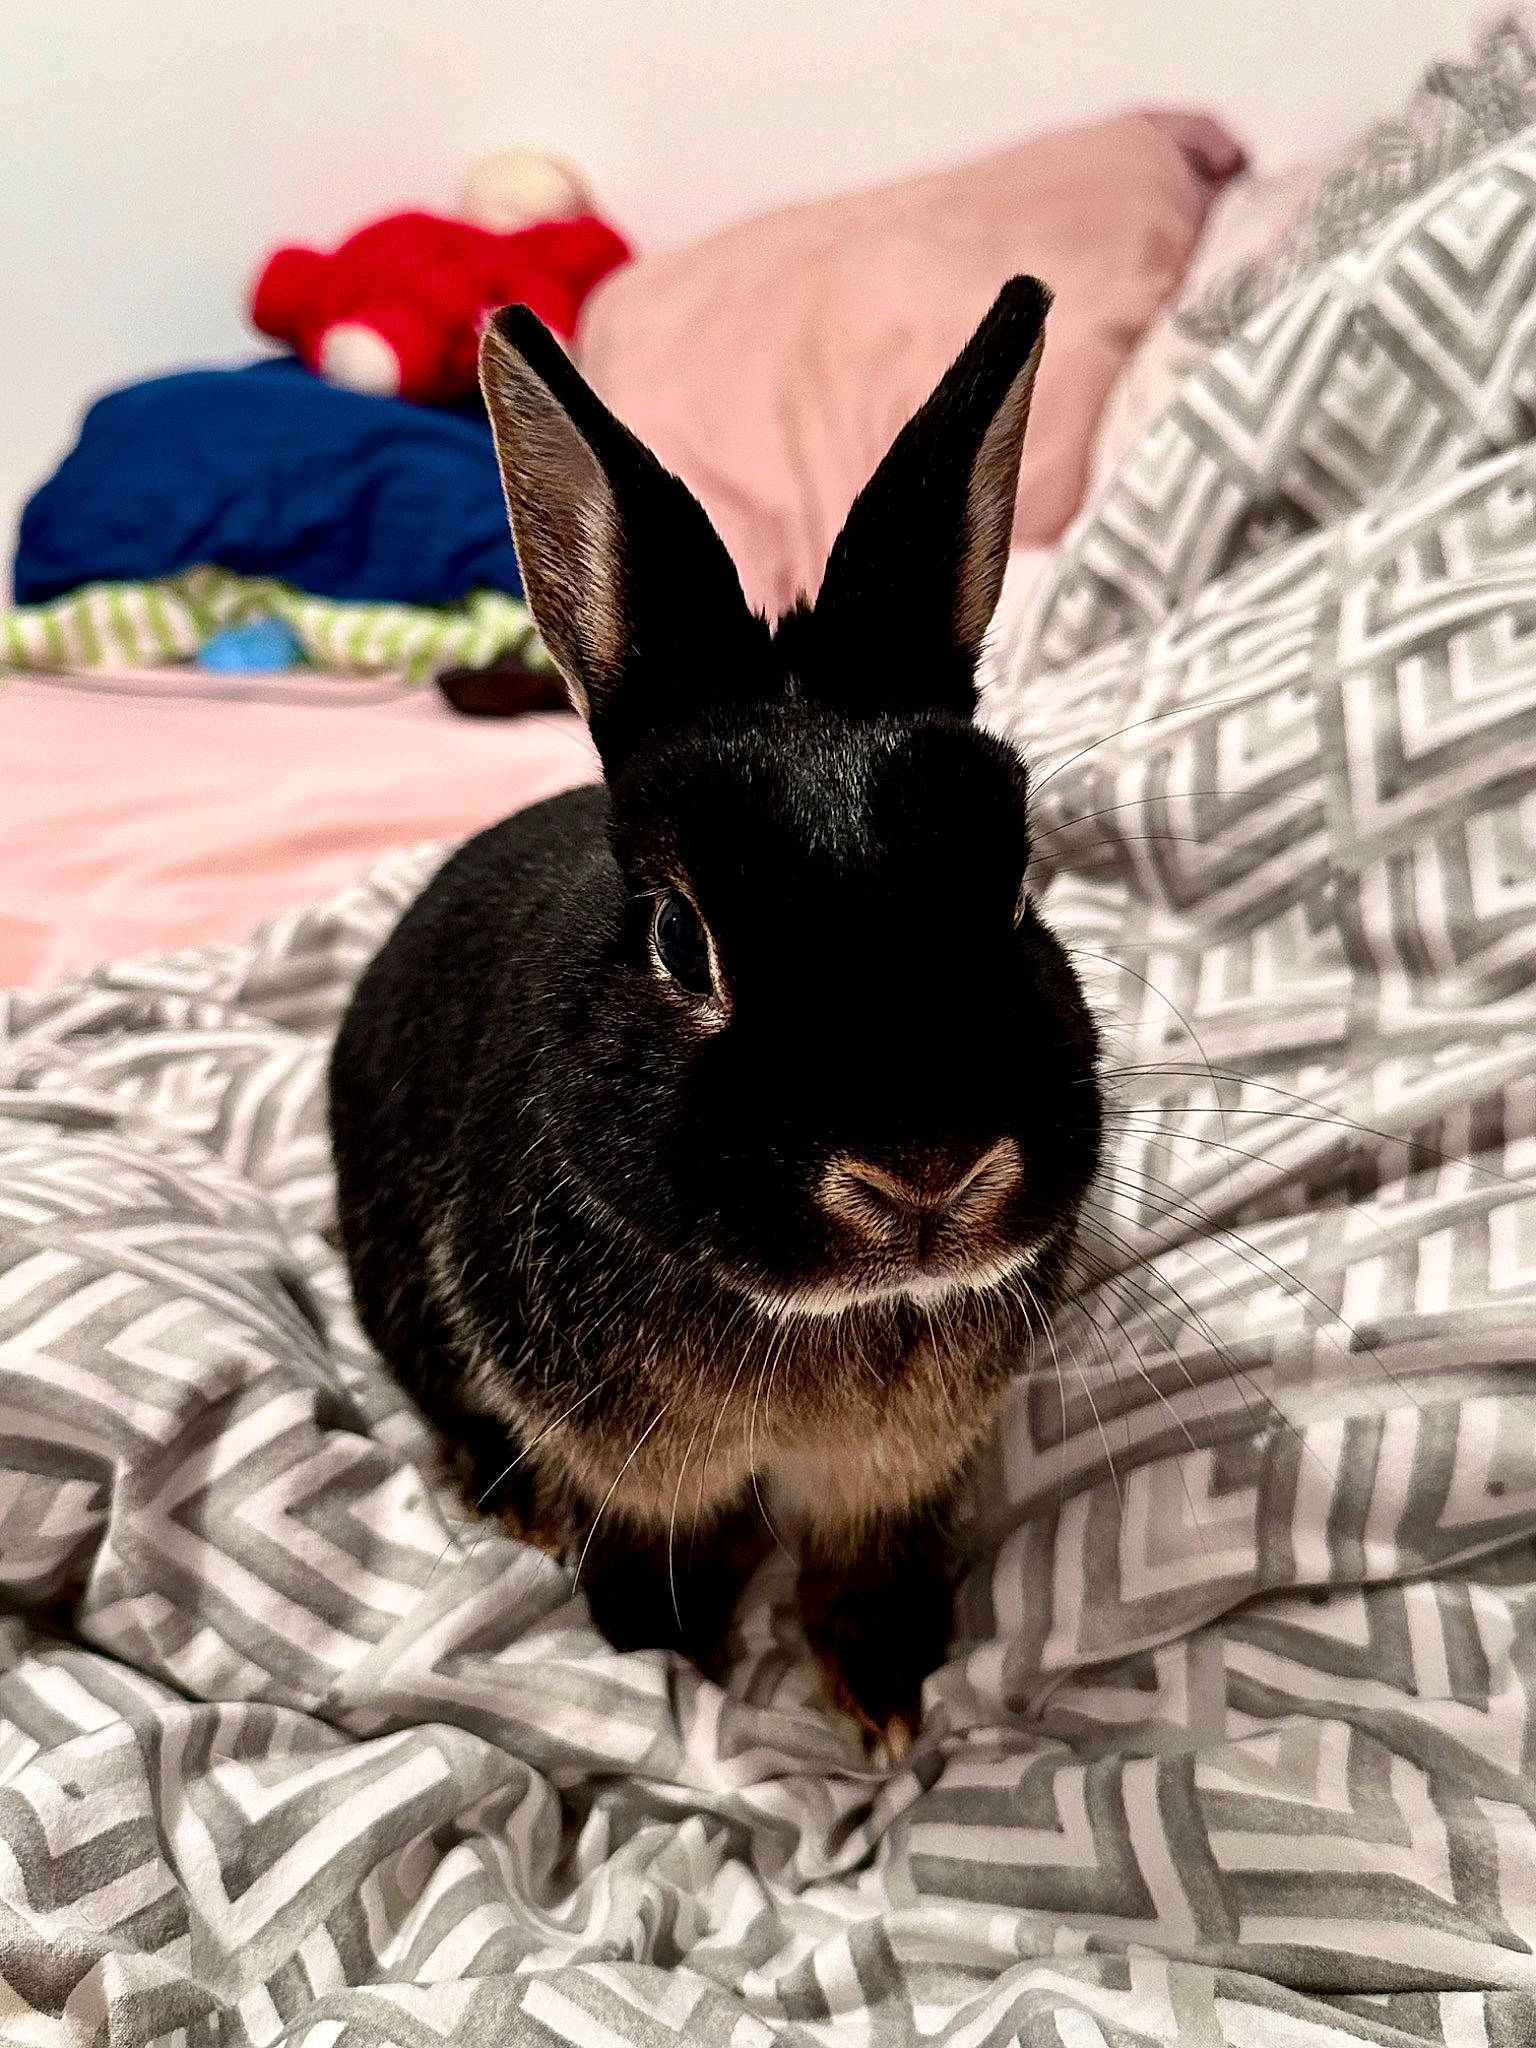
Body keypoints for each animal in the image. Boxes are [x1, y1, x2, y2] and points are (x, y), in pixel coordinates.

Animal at [328, 274, 1103, 1755]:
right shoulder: (638, 1474)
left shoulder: (885, 1480)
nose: (925, 1173)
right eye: (683, 942)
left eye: (1016, 889)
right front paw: (666, 1660)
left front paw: (887, 1698)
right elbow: (656, 1555)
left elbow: (861, 1566)